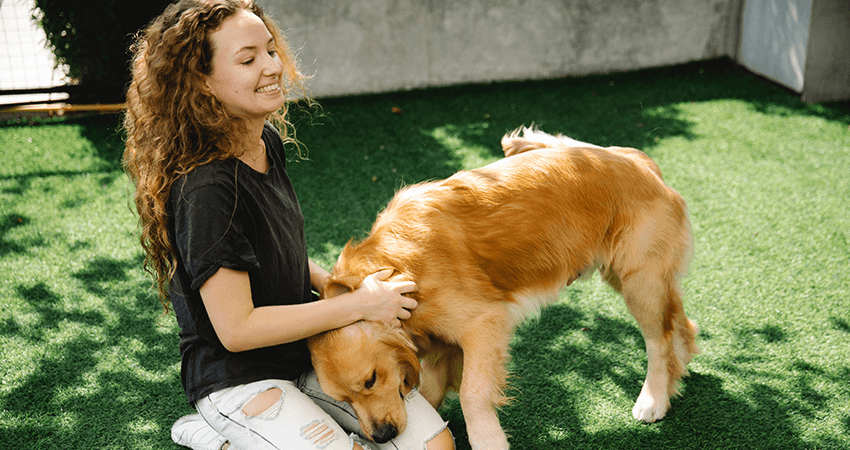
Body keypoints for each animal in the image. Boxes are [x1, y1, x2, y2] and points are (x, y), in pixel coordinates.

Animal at [308, 126, 700, 450]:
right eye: (342, 400)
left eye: (371, 380)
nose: (382, 435)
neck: (396, 268)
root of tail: (638, 161)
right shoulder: (440, 347)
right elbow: (433, 392)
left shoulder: (483, 323)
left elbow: (472, 392)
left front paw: (487, 440)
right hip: (632, 276)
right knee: (679, 322)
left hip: (639, 280)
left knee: (658, 339)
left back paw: (653, 398)